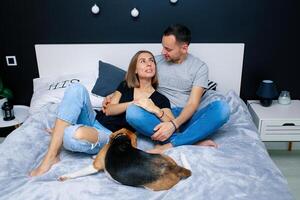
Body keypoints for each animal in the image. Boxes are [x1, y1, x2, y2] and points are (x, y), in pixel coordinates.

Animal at [59, 128, 191, 191]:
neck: (122, 139)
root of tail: (174, 168)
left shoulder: (94, 166)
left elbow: (77, 172)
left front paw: (64, 176)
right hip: (165, 156)